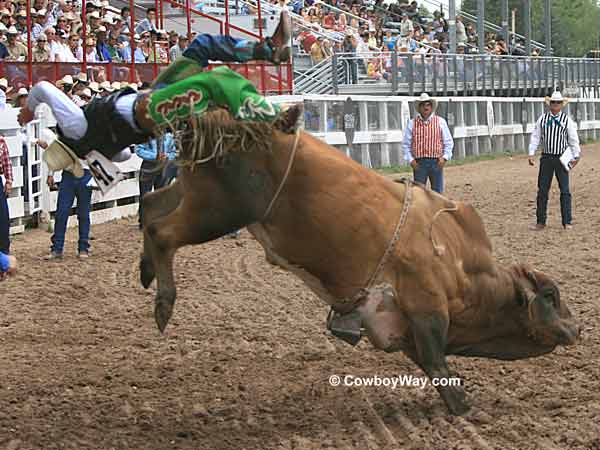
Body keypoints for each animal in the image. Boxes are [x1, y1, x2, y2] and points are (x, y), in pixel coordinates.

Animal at [141, 107, 580, 416]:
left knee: (151, 204)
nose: (577, 328)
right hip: (219, 210)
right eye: (551, 295)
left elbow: (430, 365)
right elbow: (438, 363)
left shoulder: (402, 329)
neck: (460, 269)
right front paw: (465, 408)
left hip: (194, 193)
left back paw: (146, 271)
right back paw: (163, 302)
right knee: (161, 231)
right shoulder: (427, 310)